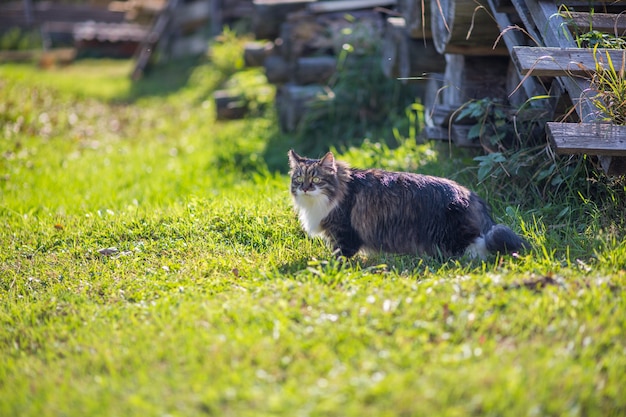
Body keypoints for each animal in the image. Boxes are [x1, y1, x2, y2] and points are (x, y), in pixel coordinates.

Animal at [288, 150, 528, 258]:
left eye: (316, 178)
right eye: (299, 179)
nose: (305, 187)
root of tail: (472, 195)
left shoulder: (344, 232)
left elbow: (339, 255)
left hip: (449, 237)